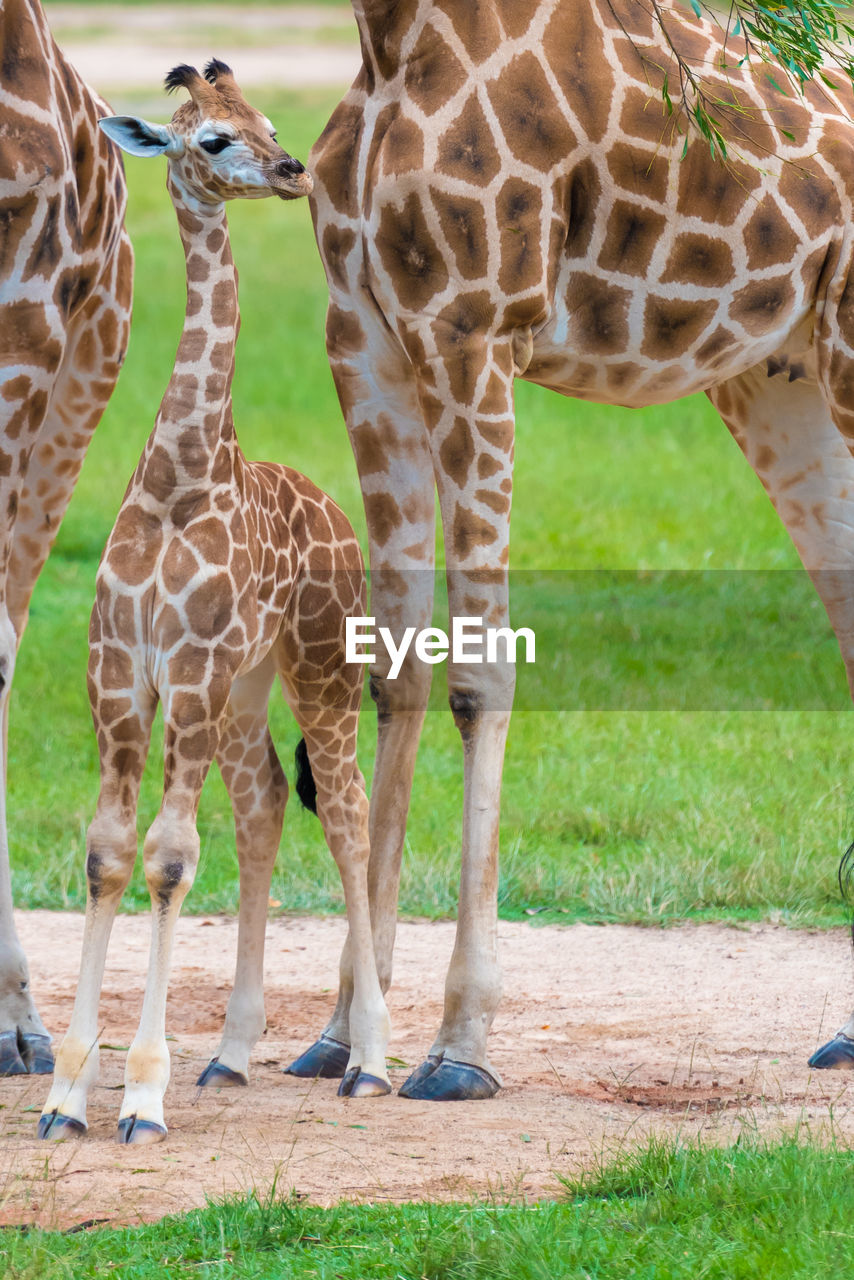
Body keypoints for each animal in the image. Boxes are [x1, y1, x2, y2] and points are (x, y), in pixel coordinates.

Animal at [37, 60, 391, 1146]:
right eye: (213, 140)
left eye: (268, 122)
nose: (290, 170)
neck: (177, 478)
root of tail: (338, 517)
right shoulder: (122, 675)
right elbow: (110, 851)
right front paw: (68, 1092)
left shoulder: (183, 674)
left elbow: (167, 856)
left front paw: (141, 1095)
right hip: (245, 690)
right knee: (267, 803)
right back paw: (232, 1053)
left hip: (321, 668)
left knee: (349, 810)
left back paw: (371, 1059)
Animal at [285, 0, 854, 1100]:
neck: (391, 37)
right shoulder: (363, 335)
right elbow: (394, 673)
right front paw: (342, 1035)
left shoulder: (472, 333)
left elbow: (478, 677)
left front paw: (459, 1044)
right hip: (783, 383)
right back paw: (848, 1031)